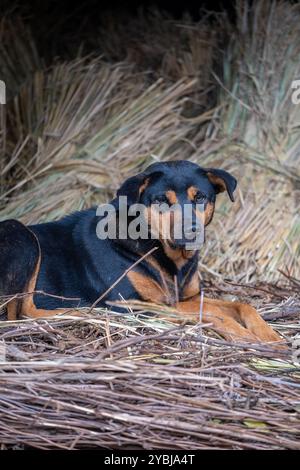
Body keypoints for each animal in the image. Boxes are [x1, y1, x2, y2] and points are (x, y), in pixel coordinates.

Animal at [0, 161, 282, 346]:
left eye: (200, 197)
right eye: (160, 200)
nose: (191, 230)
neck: (168, 257)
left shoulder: (187, 297)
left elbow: (242, 305)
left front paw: (271, 336)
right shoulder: (134, 304)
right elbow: (212, 315)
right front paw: (245, 336)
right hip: (23, 235)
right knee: (21, 314)